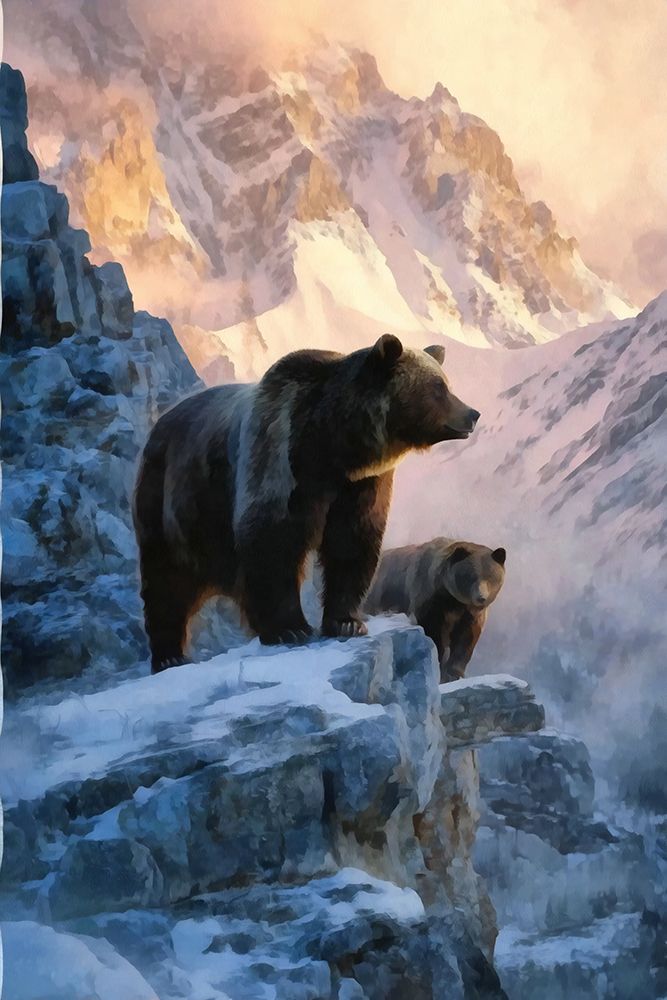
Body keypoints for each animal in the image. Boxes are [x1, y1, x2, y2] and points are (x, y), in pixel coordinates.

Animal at [133, 334, 480, 672]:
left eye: (445, 382)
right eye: (439, 388)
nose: (472, 414)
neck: (332, 445)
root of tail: (160, 422)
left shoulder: (360, 485)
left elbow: (352, 543)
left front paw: (346, 622)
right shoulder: (280, 455)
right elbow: (271, 540)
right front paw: (290, 628)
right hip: (174, 501)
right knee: (165, 580)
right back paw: (169, 655)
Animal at [363, 538, 506, 682]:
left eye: (491, 576)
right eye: (471, 576)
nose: (481, 597)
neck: (452, 601)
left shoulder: (469, 614)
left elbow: (466, 639)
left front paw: (454, 673)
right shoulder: (431, 601)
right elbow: (433, 631)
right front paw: (438, 666)